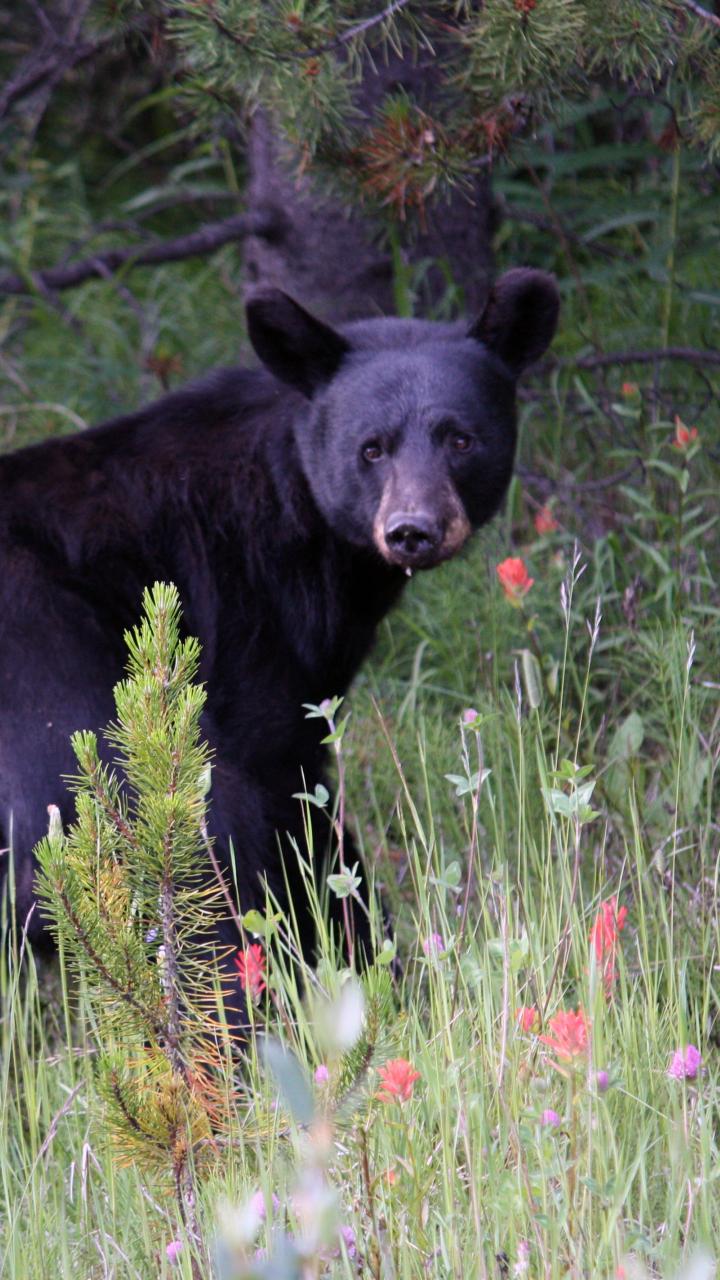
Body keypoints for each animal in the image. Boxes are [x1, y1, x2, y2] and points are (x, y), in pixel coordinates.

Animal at [0, 267, 559, 990]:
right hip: (68, 701)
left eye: (460, 438)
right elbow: (291, 789)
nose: (412, 529)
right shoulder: (248, 625)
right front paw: (369, 953)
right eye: (370, 448)